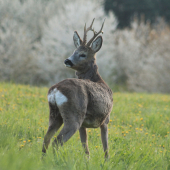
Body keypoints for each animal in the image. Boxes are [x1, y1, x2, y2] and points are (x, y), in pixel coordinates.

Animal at [41, 18, 113, 158]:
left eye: (83, 54)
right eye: (74, 52)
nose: (67, 60)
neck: (98, 80)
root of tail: (55, 90)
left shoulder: (83, 125)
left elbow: (86, 147)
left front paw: (87, 161)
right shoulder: (105, 120)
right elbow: (105, 147)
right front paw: (107, 161)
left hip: (55, 113)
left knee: (47, 138)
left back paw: (43, 160)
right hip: (74, 114)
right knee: (57, 141)